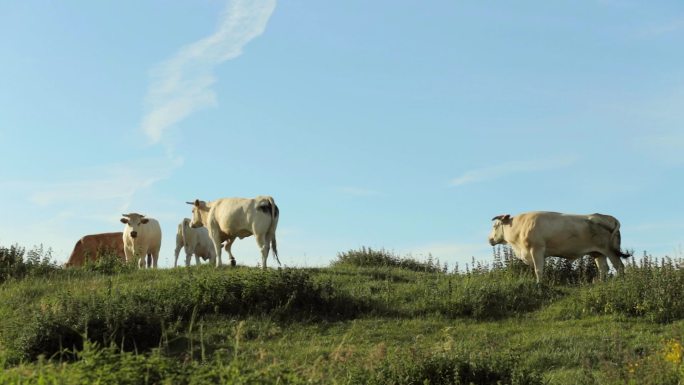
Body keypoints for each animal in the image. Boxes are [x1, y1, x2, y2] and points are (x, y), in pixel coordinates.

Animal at [486, 210, 632, 282]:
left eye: (495, 226)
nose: (489, 239)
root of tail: (608, 217)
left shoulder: (537, 249)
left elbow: (538, 270)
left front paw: (539, 284)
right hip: (598, 252)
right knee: (603, 268)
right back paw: (601, 283)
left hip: (610, 251)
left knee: (619, 266)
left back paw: (621, 283)